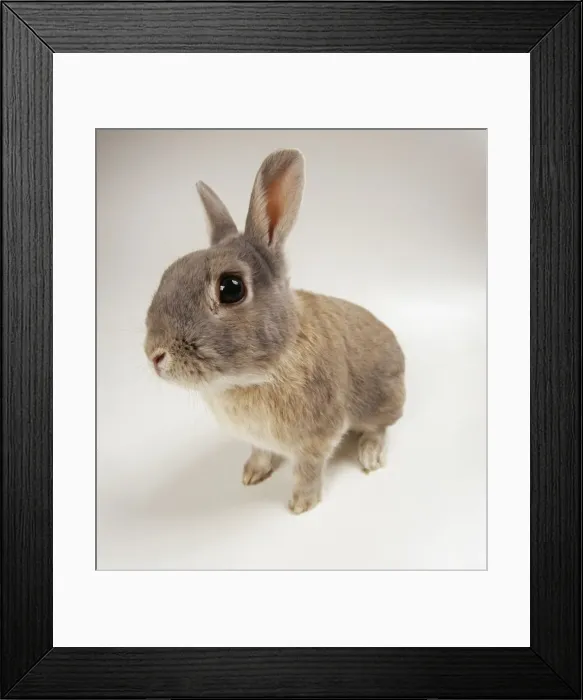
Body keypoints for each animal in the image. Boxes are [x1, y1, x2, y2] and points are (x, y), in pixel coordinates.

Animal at [144, 148, 405, 514]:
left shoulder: (316, 438)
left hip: (381, 403)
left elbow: (308, 470)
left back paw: (370, 455)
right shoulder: (259, 439)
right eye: (169, 272)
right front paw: (252, 474)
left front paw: (301, 504)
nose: (153, 354)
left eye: (231, 288)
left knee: (380, 428)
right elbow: (260, 452)